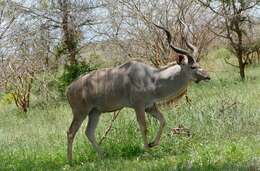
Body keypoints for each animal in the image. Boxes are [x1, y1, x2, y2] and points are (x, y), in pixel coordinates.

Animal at [66, 20, 210, 161]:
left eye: (198, 64)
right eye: (192, 66)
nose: (207, 76)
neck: (152, 79)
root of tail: (69, 89)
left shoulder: (150, 106)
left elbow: (163, 120)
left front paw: (152, 144)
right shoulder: (138, 106)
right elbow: (144, 127)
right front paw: (147, 150)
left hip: (95, 112)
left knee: (89, 132)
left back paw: (104, 156)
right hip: (80, 112)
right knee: (71, 132)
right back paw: (70, 161)